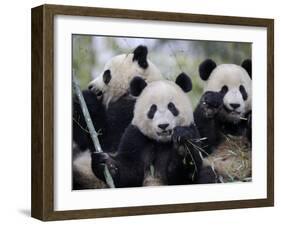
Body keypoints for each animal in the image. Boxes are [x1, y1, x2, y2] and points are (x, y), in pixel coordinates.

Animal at [72, 44, 163, 189]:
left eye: (106, 74)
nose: (90, 86)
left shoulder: (134, 109)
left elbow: (107, 141)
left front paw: (86, 97)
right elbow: (82, 139)